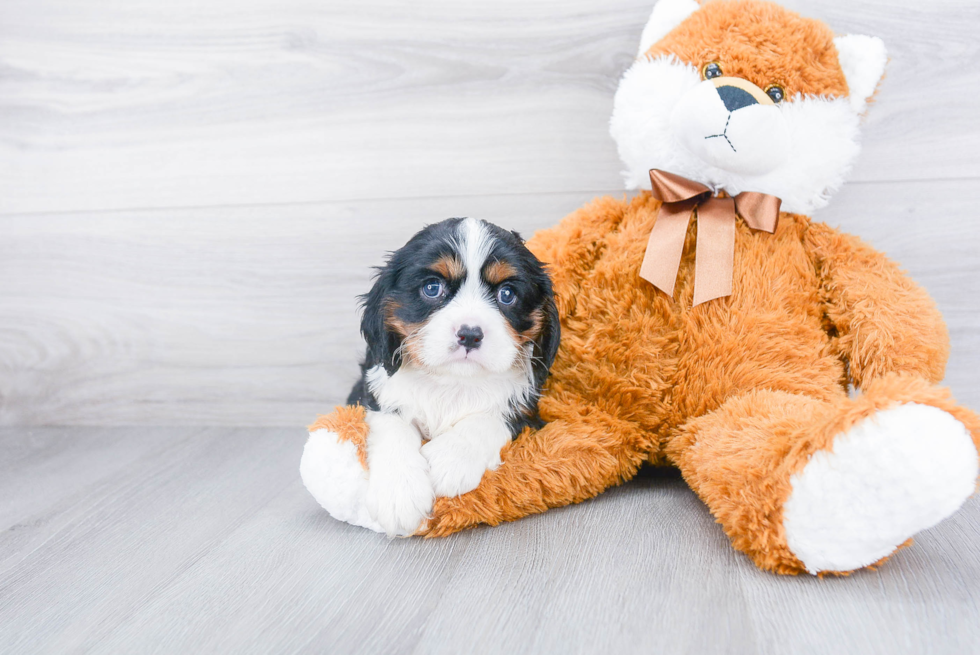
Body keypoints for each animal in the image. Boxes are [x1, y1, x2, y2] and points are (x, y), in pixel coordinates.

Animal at [346, 218, 560, 536]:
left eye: (507, 294)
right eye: (432, 288)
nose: (470, 334)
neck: (452, 382)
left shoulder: (526, 408)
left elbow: (487, 420)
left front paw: (448, 459)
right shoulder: (377, 391)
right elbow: (393, 427)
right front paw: (398, 493)